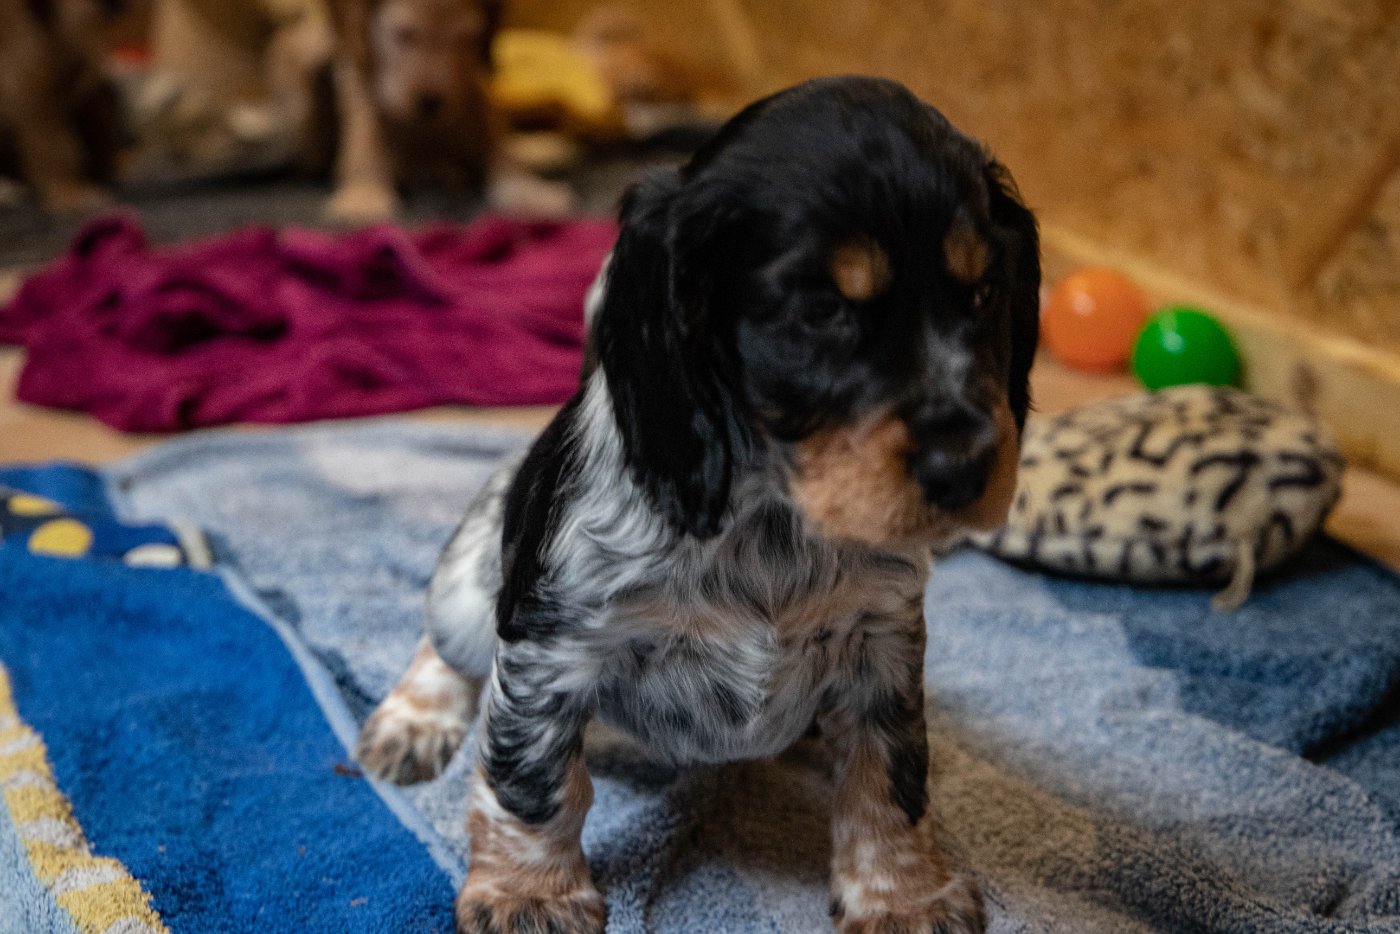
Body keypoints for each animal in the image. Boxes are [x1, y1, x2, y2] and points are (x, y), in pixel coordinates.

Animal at [356, 75, 1041, 934]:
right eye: (820, 312)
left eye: (983, 293)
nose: (967, 468)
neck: (771, 516)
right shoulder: (551, 647)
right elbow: (534, 780)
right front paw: (530, 894)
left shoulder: (884, 645)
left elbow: (890, 777)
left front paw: (904, 895)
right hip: (469, 587)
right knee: (446, 648)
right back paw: (413, 722)